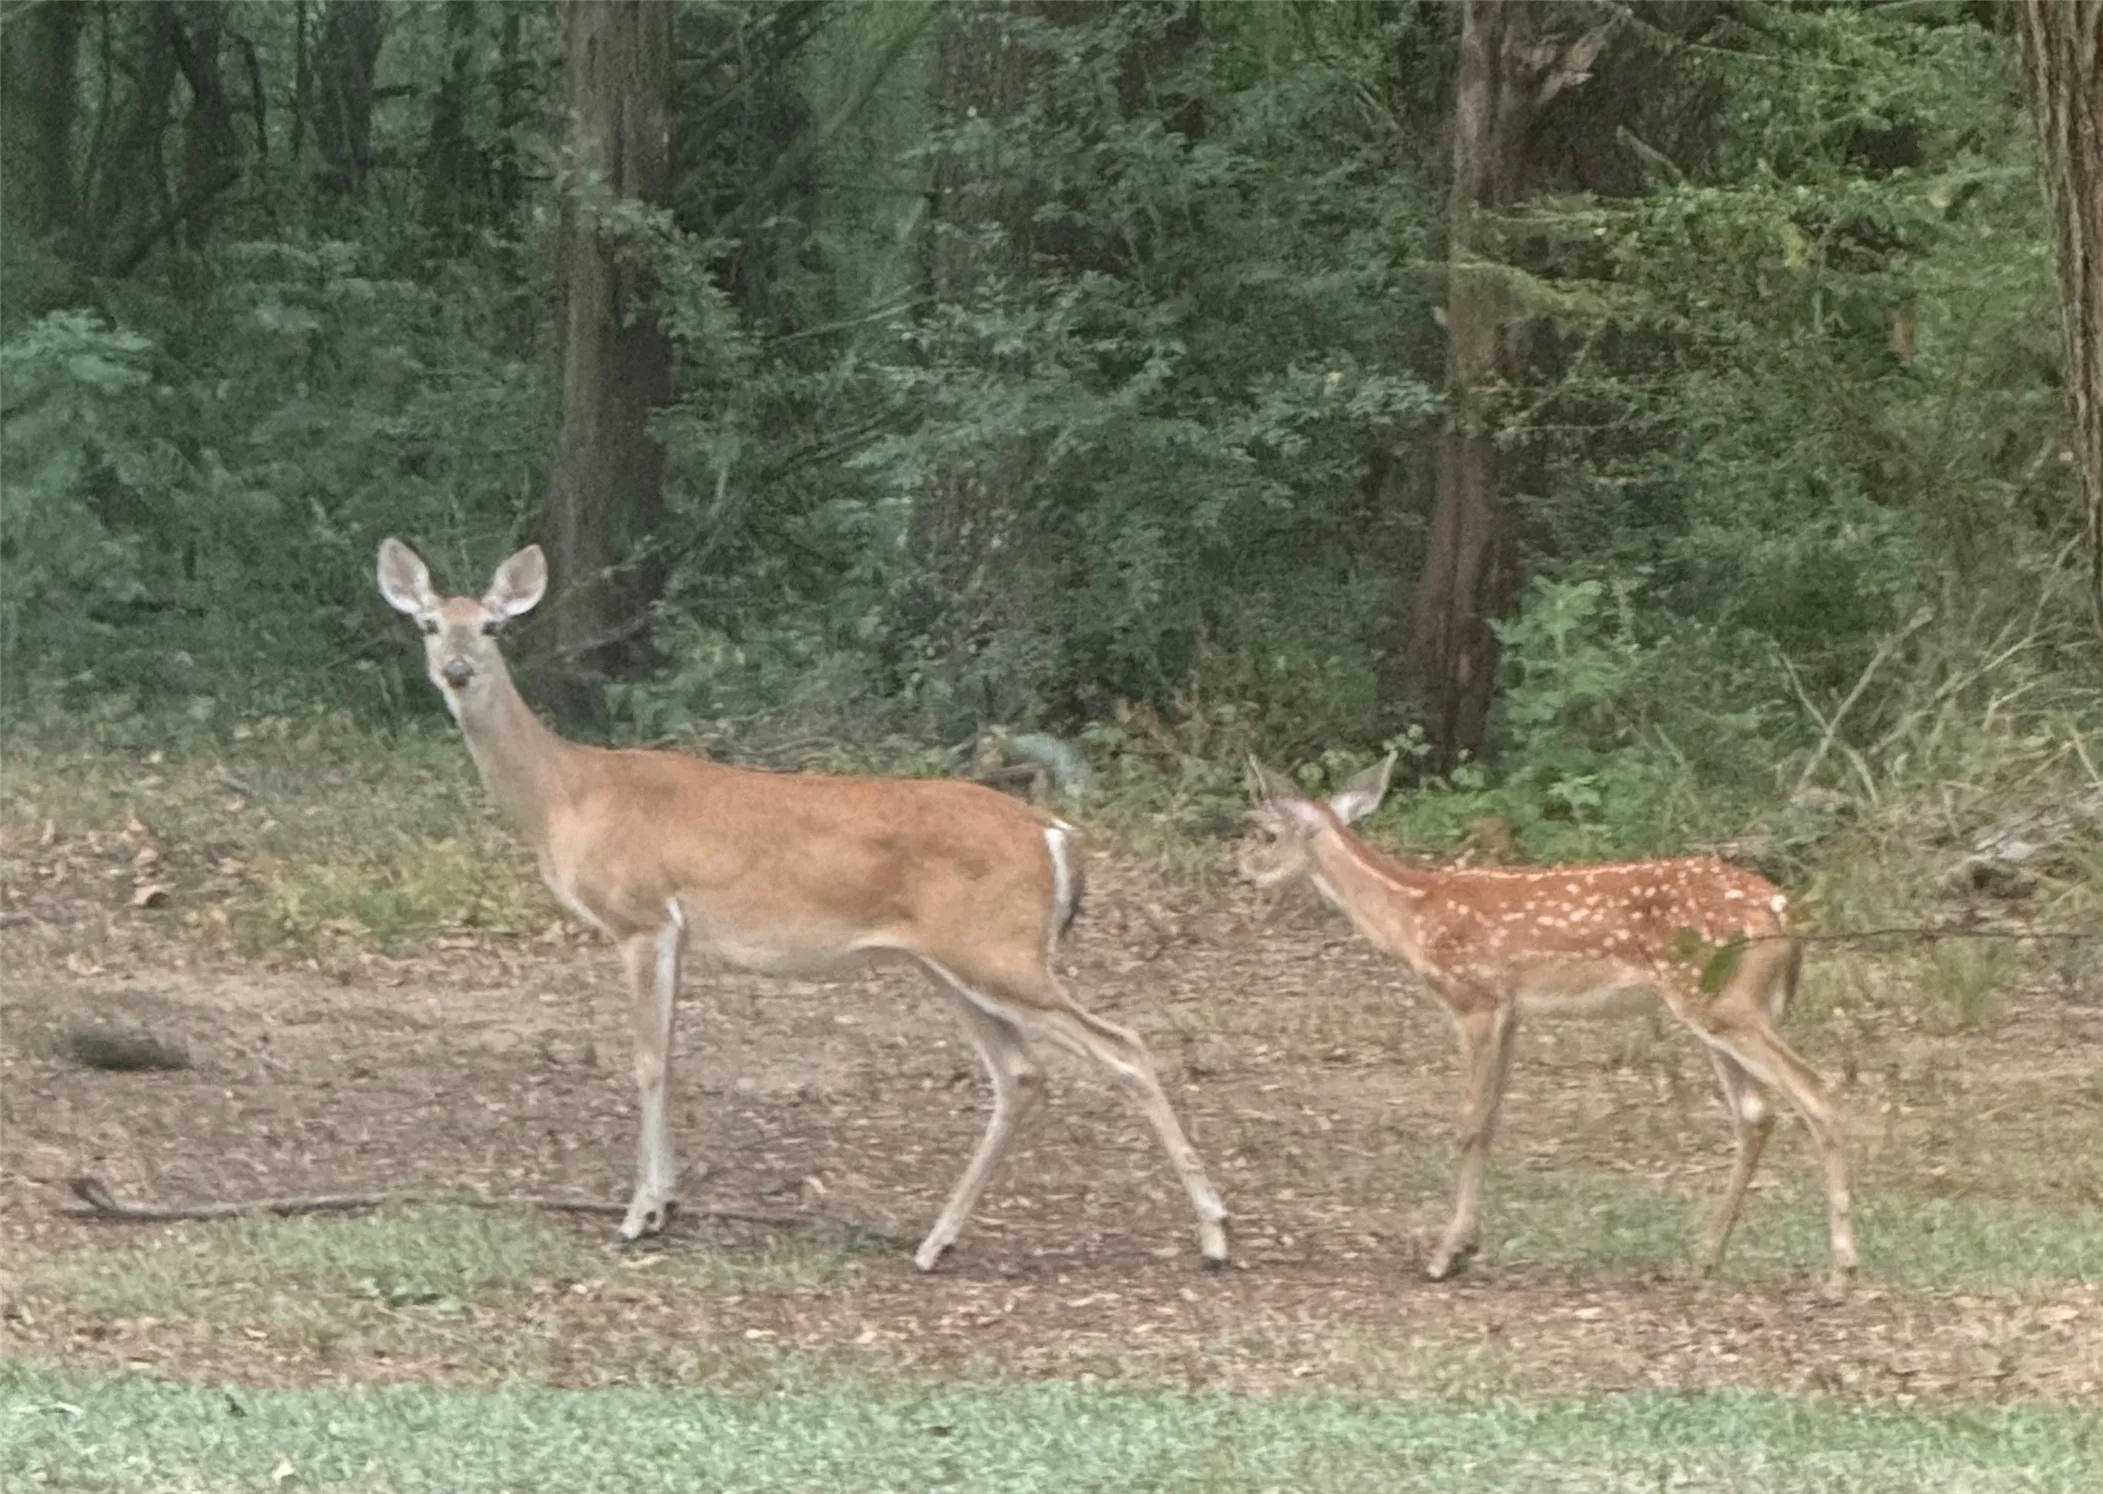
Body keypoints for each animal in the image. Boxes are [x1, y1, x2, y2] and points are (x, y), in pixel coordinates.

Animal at [376, 539, 1230, 1271]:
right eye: (428, 623)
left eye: (493, 626)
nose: (457, 669)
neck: (565, 793)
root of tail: (1057, 834)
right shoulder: (678, 932)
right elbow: (673, 1054)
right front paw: (667, 1203)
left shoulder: (640, 915)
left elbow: (647, 1060)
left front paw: (637, 1215)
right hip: (955, 962)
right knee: (1020, 1072)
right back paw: (936, 1242)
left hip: (1000, 951)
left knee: (1121, 1046)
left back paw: (1215, 1235)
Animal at [1241, 754, 1856, 1299]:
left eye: (1267, 832)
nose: (1242, 869)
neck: (1412, 913)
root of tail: (1784, 911)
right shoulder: (1512, 1011)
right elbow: (1491, 1122)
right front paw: (1466, 1247)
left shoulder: (1474, 998)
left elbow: (1468, 1122)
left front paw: (1444, 1257)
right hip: (1723, 1008)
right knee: (1755, 1113)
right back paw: (1701, 1260)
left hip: (1724, 1004)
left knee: (1816, 1090)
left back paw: (1839, 1273)